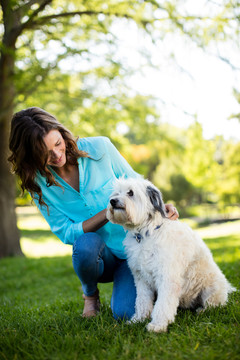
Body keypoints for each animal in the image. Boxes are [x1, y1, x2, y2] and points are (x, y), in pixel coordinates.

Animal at [106, 177, 234, 332]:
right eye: (116, 193)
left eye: (130, 192)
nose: (112, 201)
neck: (145, 234)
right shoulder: (142, 280)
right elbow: (142, 301)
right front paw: (138, 319)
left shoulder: (167, 278)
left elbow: (163, 304)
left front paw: (158, 325)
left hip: (212, 288)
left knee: (214, 305)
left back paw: (202, 310)